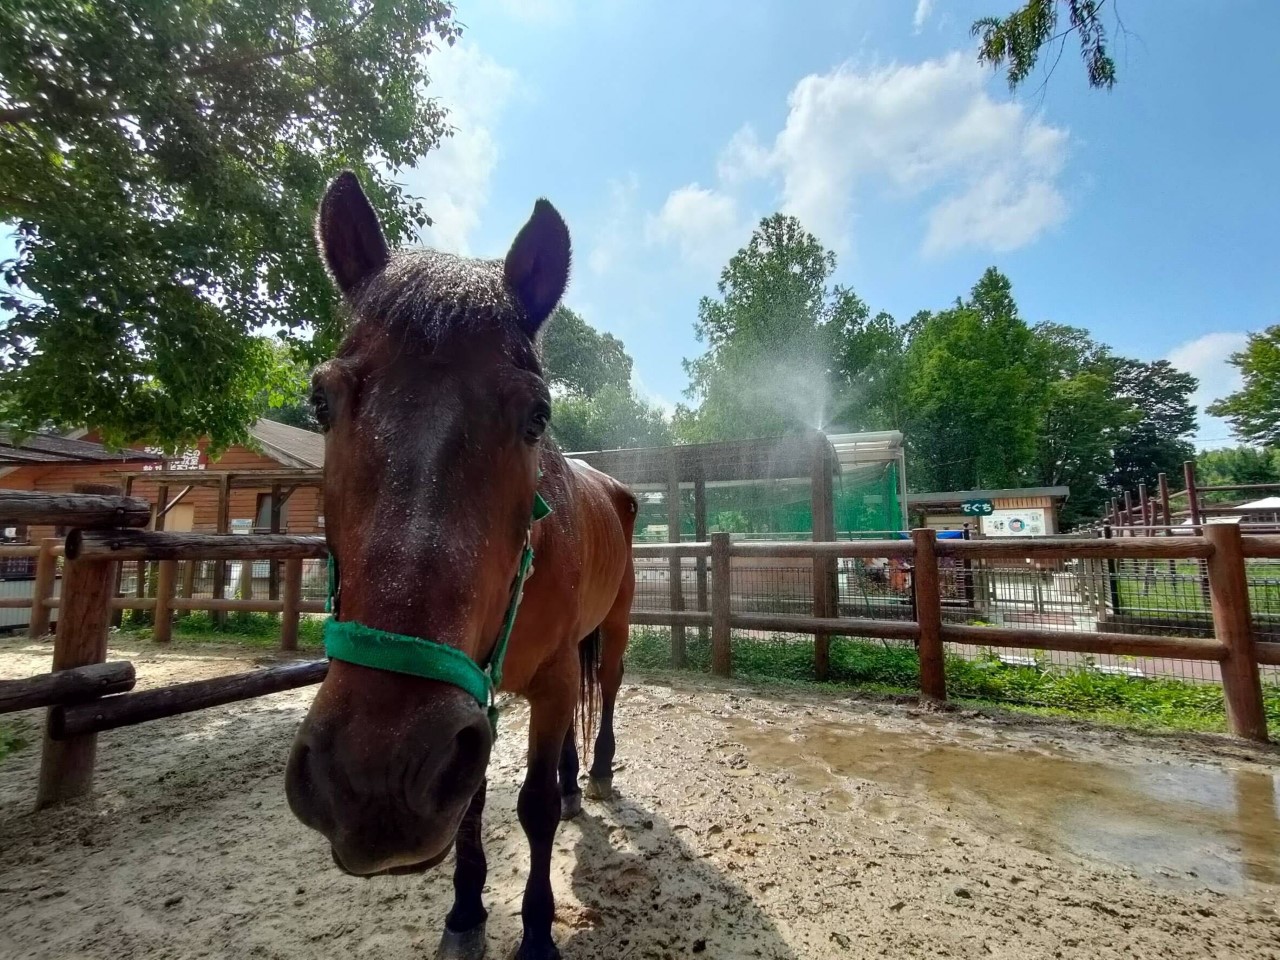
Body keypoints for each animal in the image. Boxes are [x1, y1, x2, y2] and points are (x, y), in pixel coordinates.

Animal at [285, 175, 634, 960]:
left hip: (614, 632)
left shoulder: (549, 679)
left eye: (537, 416)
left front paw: (535, 934)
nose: (374, 778)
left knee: (606, 696)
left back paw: (594, 775)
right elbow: (473, 805)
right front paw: (467, 912)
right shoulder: (478, 700)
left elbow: (533, 809)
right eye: (320, 401)